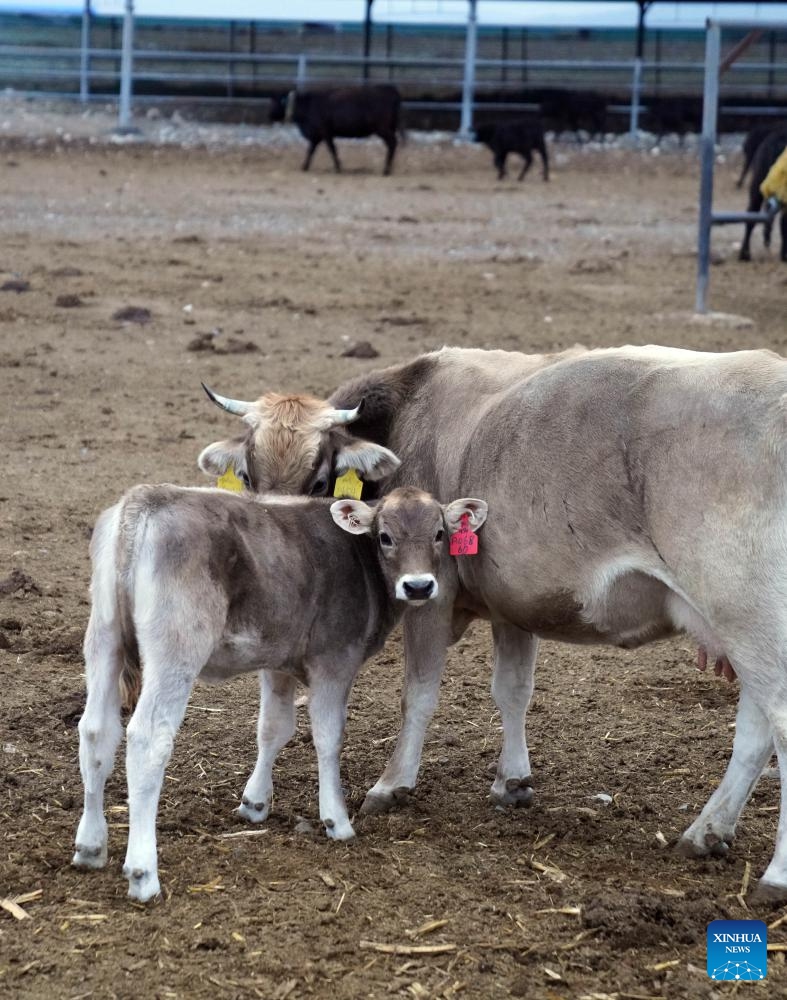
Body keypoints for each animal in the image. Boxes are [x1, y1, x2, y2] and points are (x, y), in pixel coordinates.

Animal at [202, 348, 787, 904]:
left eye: (320, 479)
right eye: (248, 477)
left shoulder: (432, 594)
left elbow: (419, 694)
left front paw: (393, 784)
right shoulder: (515, 604)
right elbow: (513, 691)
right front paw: (513, 781)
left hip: (750, 618)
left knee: (777, 727)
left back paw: (774, 874)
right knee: (754, 733)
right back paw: (707, 831)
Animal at [272, 85, 406, 175]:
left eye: (275, 101)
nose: (269, 115)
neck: (308, 105)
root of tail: (390, 89)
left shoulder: (325, 133)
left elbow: (332, 150)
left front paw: (338, 168)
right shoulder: (317, 136)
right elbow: (311, 151)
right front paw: (304, 167)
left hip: (382, 129)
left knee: (392, 143)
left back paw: (386, 170)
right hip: (389, 128)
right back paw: (389, 168)